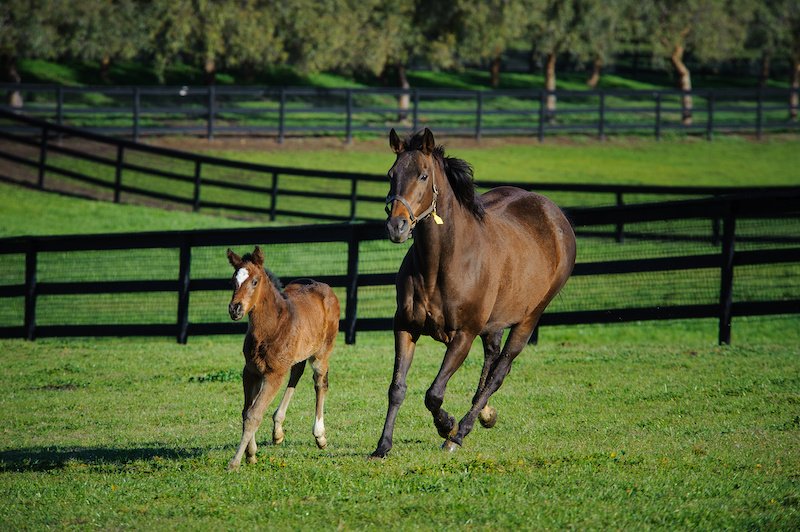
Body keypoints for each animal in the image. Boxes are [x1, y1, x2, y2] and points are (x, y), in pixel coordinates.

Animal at [225, 245, 340, 470]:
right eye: (233, 281)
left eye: (255, 281)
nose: (235, 309)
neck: (272, 326)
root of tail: (325, 287)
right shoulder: (250, 371)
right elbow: (246, 411)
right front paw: (251, 454)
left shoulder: (274, 374)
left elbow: (253, 414)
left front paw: (235, 462)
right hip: (298, 355)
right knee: (296, 374)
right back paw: (278, 429)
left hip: (321, 353)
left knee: (320, 383)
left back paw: (320, 436)